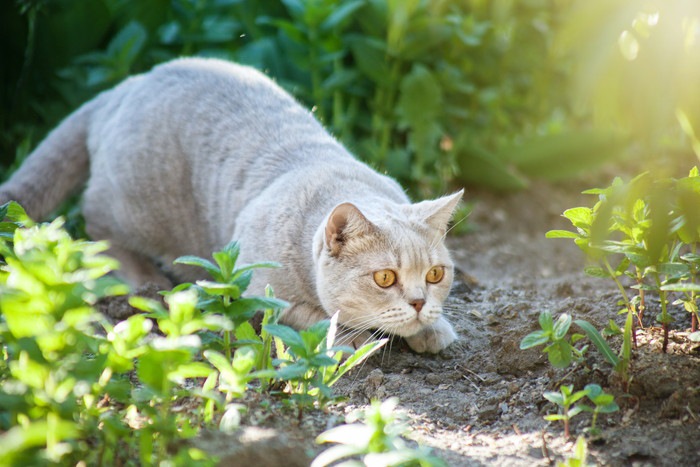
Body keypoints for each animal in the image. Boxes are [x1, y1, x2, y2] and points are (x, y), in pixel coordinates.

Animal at [1, 56, 464, 352]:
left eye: (435, 274)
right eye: (384, 278)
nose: (420, 302)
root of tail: (125, 86)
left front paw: (433, 327)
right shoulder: (262, 291)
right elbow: (315, 317)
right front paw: (355, 340)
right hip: (132, 206)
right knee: (98, 230)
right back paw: (149, 280)